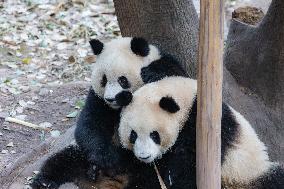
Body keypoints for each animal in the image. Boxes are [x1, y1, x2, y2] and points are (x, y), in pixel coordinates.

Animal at [31, 37, 187, 189]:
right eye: (103, 80)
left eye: (122, 80)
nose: (111, 99)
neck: (117, 107)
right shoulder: (98, 99)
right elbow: (89, 125)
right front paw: (107, 158)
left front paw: (152, 72)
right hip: (82, 156)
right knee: (64, 160)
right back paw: (45, 181)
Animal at [118, 76, 282, 188]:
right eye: (133, 135)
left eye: (154, 135)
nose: (144, 156)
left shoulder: (202, 127)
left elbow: (189, 167)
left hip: (249, 171)